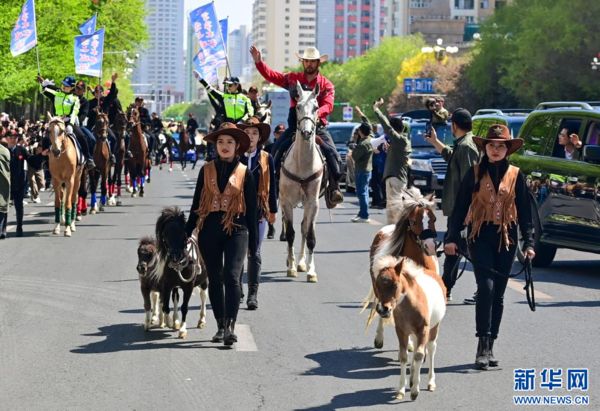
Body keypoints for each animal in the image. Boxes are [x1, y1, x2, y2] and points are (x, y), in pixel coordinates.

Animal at [154, 208, 207, 340]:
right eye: (165, 234)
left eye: (182, 233)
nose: (174, 256)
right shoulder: (167, 285)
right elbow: (166, 306)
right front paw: (170, 322)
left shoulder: (188, 287)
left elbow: (184, 307)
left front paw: (182, 330)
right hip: (175, 286)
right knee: (175, 297)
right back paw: (175, 321)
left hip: (204, 281)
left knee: (203, 296)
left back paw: (201, 320)